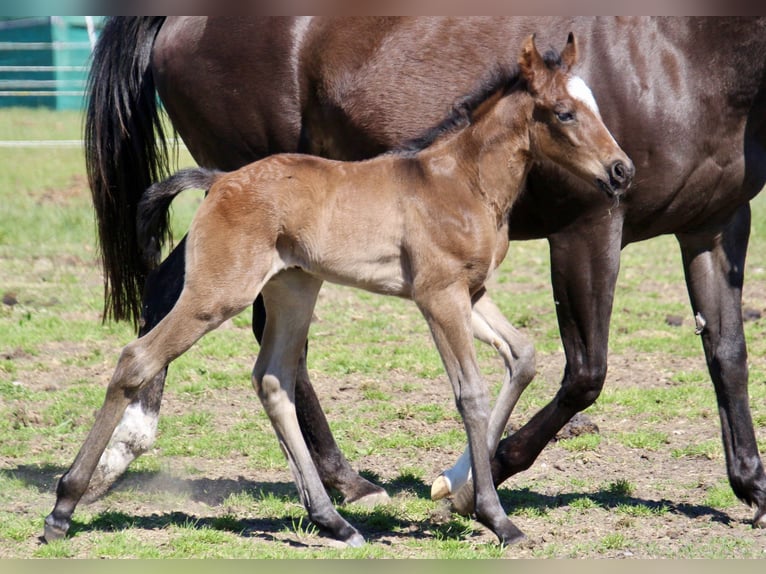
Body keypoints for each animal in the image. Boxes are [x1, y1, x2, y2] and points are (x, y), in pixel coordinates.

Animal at [78, 17, 766, 529]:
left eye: (596, 106)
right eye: (563, 114)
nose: (623, 172)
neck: (457, 180)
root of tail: (220, 181)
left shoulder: (474, 291)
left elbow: (527, 357)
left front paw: (460, 486)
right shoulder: (446, 292)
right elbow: (486, 388)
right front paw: (485, 503)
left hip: (291, 285)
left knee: (271, 374)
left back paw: (331, 508)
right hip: (220, 287)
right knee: (146, 347)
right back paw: (80, 490)